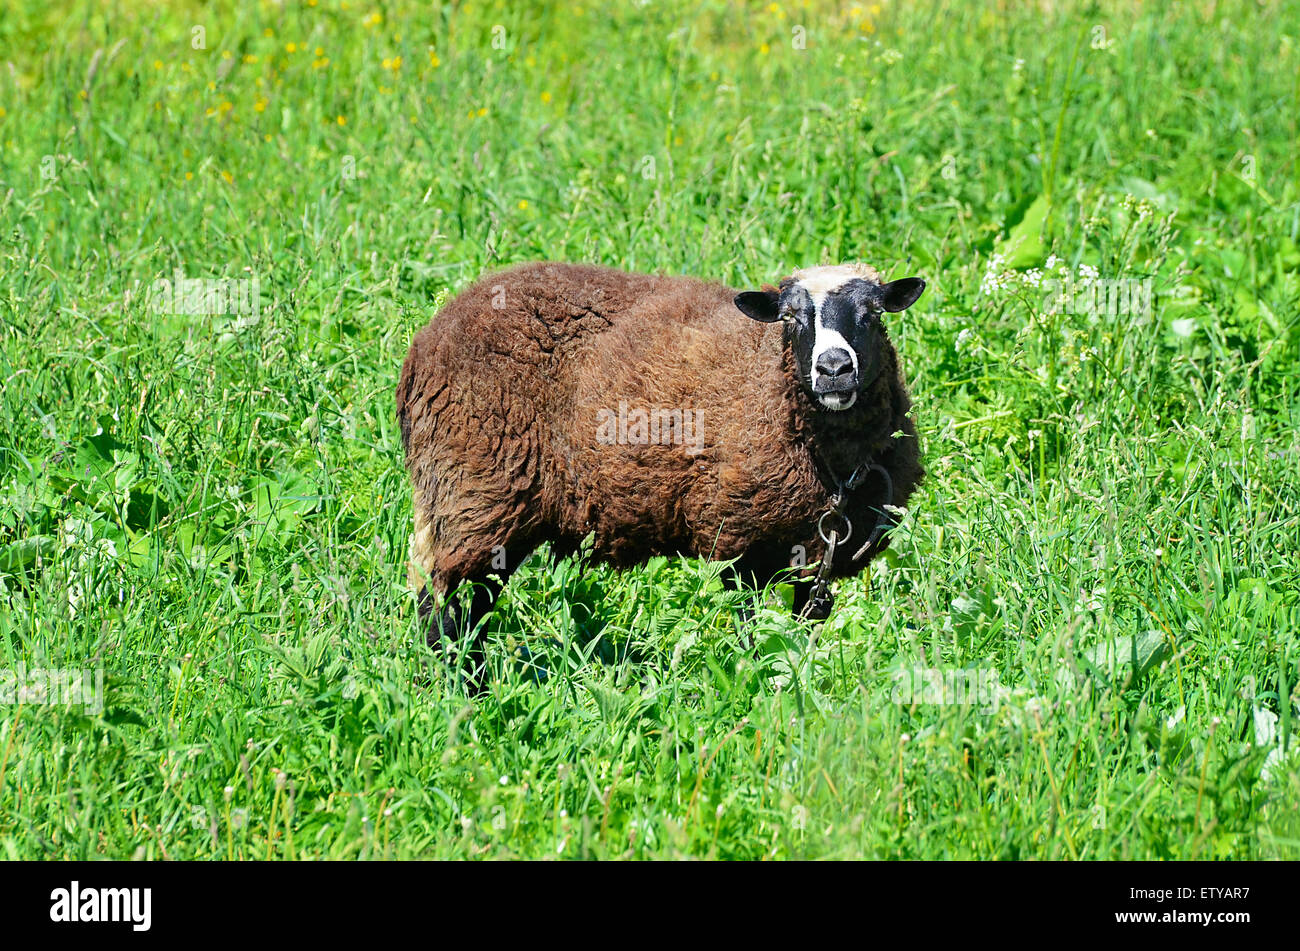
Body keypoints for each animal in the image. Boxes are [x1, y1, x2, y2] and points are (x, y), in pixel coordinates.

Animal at [396, 261, 925, 660]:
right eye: (791, 317)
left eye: (871, 313)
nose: (834, 369)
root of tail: (427, 340)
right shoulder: (740, 535)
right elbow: (751, 626)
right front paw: (756, 682)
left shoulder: (818, 552)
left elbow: (803, 632)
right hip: (474, 485)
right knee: (443, 599)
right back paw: (459, 689)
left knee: (473, 602)